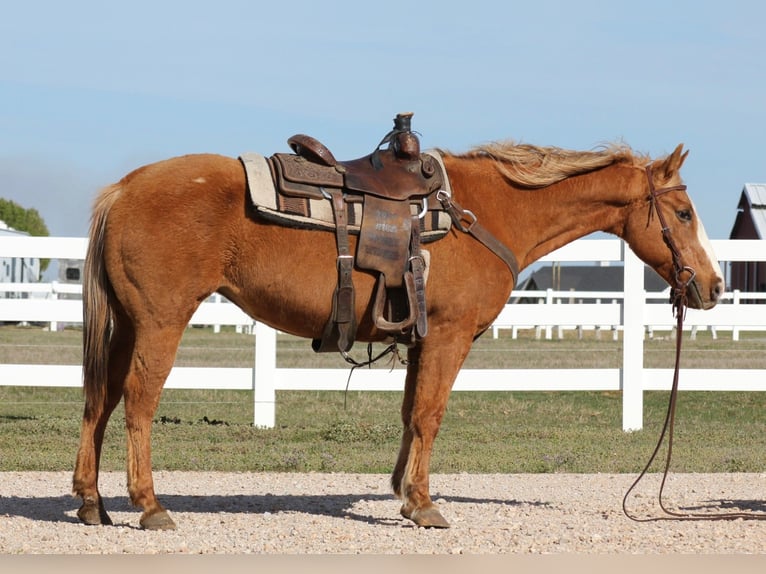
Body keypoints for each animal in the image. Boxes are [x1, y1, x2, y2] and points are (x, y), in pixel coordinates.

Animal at [72, 134, 724, 531]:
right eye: (684, 213)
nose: (713, 287)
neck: (486, 214)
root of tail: (124, 188)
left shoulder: (419, 340)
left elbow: (411, 412)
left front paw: (405, 493)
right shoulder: (448, 338)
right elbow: (431, 414)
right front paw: (426, 504)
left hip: (127, 325)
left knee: (98, 402)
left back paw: (91, 501)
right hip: (160, 323)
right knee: (137, 402)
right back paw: (149, 506)